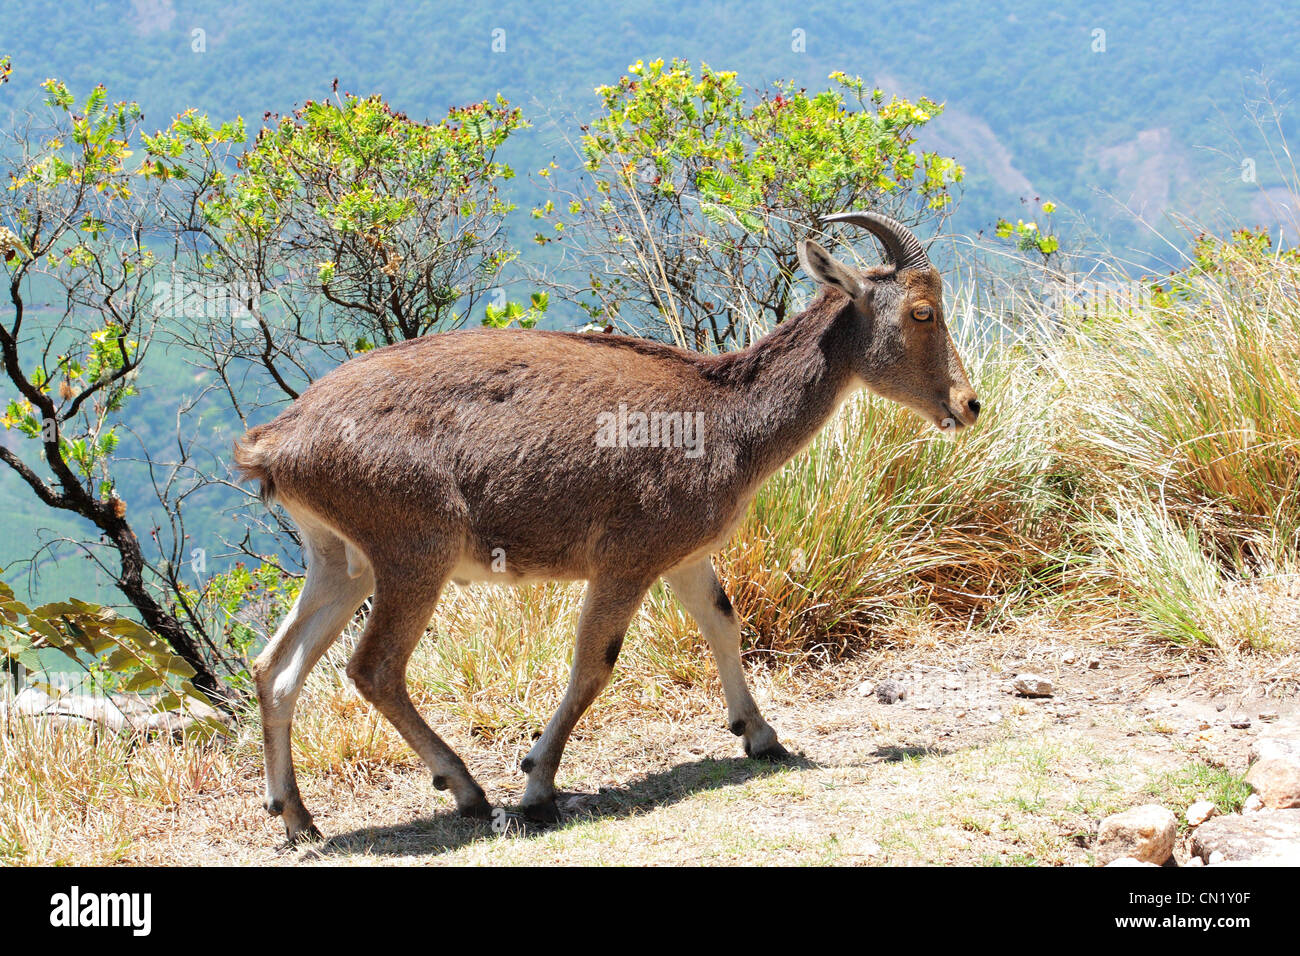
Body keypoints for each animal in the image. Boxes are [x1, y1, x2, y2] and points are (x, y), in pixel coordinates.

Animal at [239, 213, 977, 842]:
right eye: (921, 312)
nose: (968, 404)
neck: (727, 413)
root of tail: (276, 443)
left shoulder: (683, 556)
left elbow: (721, 621)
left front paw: (761, 735)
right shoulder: (628, 558)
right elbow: (596, 661)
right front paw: (537, 785)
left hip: (341, 560)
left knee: (275, 667)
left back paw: (297, 818)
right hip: (414, 551)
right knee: (373, 668)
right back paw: (467, 790)